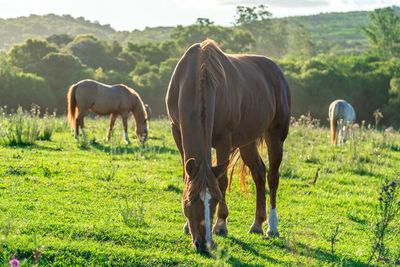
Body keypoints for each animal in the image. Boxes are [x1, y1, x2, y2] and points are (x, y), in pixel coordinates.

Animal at [166, 39, 290, 253]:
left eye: (215, 200)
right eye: (190, 200)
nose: (204, 243)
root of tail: (277, 72)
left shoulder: (224, 140)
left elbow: (222, 181)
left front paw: (221, 224)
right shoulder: (177, 132)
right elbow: (185, 176)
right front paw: (186, 226)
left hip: (275, 136)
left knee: (273, 177)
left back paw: (272, 227)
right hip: (248, 141)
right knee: (259, 173)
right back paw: (257, 224)